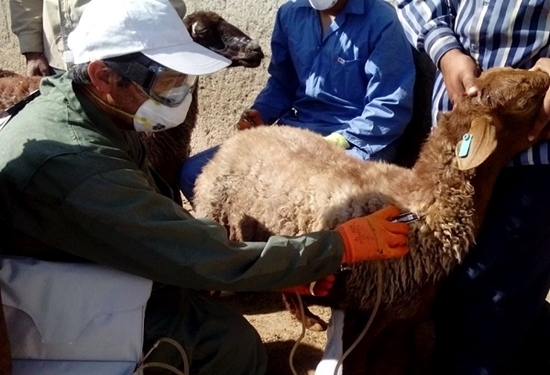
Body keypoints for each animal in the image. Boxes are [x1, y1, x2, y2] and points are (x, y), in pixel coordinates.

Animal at [194, 68, 550, 375]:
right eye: (526, 101)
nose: (544, 73)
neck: (423, 206)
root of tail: (249, 132)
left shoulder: (408, 319)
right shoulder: (367, 315)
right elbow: (354, 364)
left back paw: (308, 318)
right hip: (213, 207)